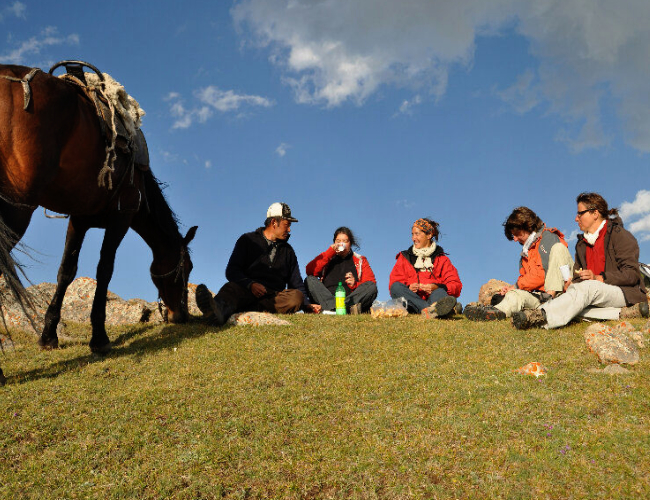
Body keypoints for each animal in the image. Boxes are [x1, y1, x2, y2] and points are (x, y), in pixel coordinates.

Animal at [0, 62, 197, 382]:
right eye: (186, 269)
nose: (180, 315)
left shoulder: (79, 220)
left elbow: (66, 271)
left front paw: (49, 335)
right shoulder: (121, 218)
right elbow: (104, 271)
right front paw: (100, 338)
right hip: (17, 211)